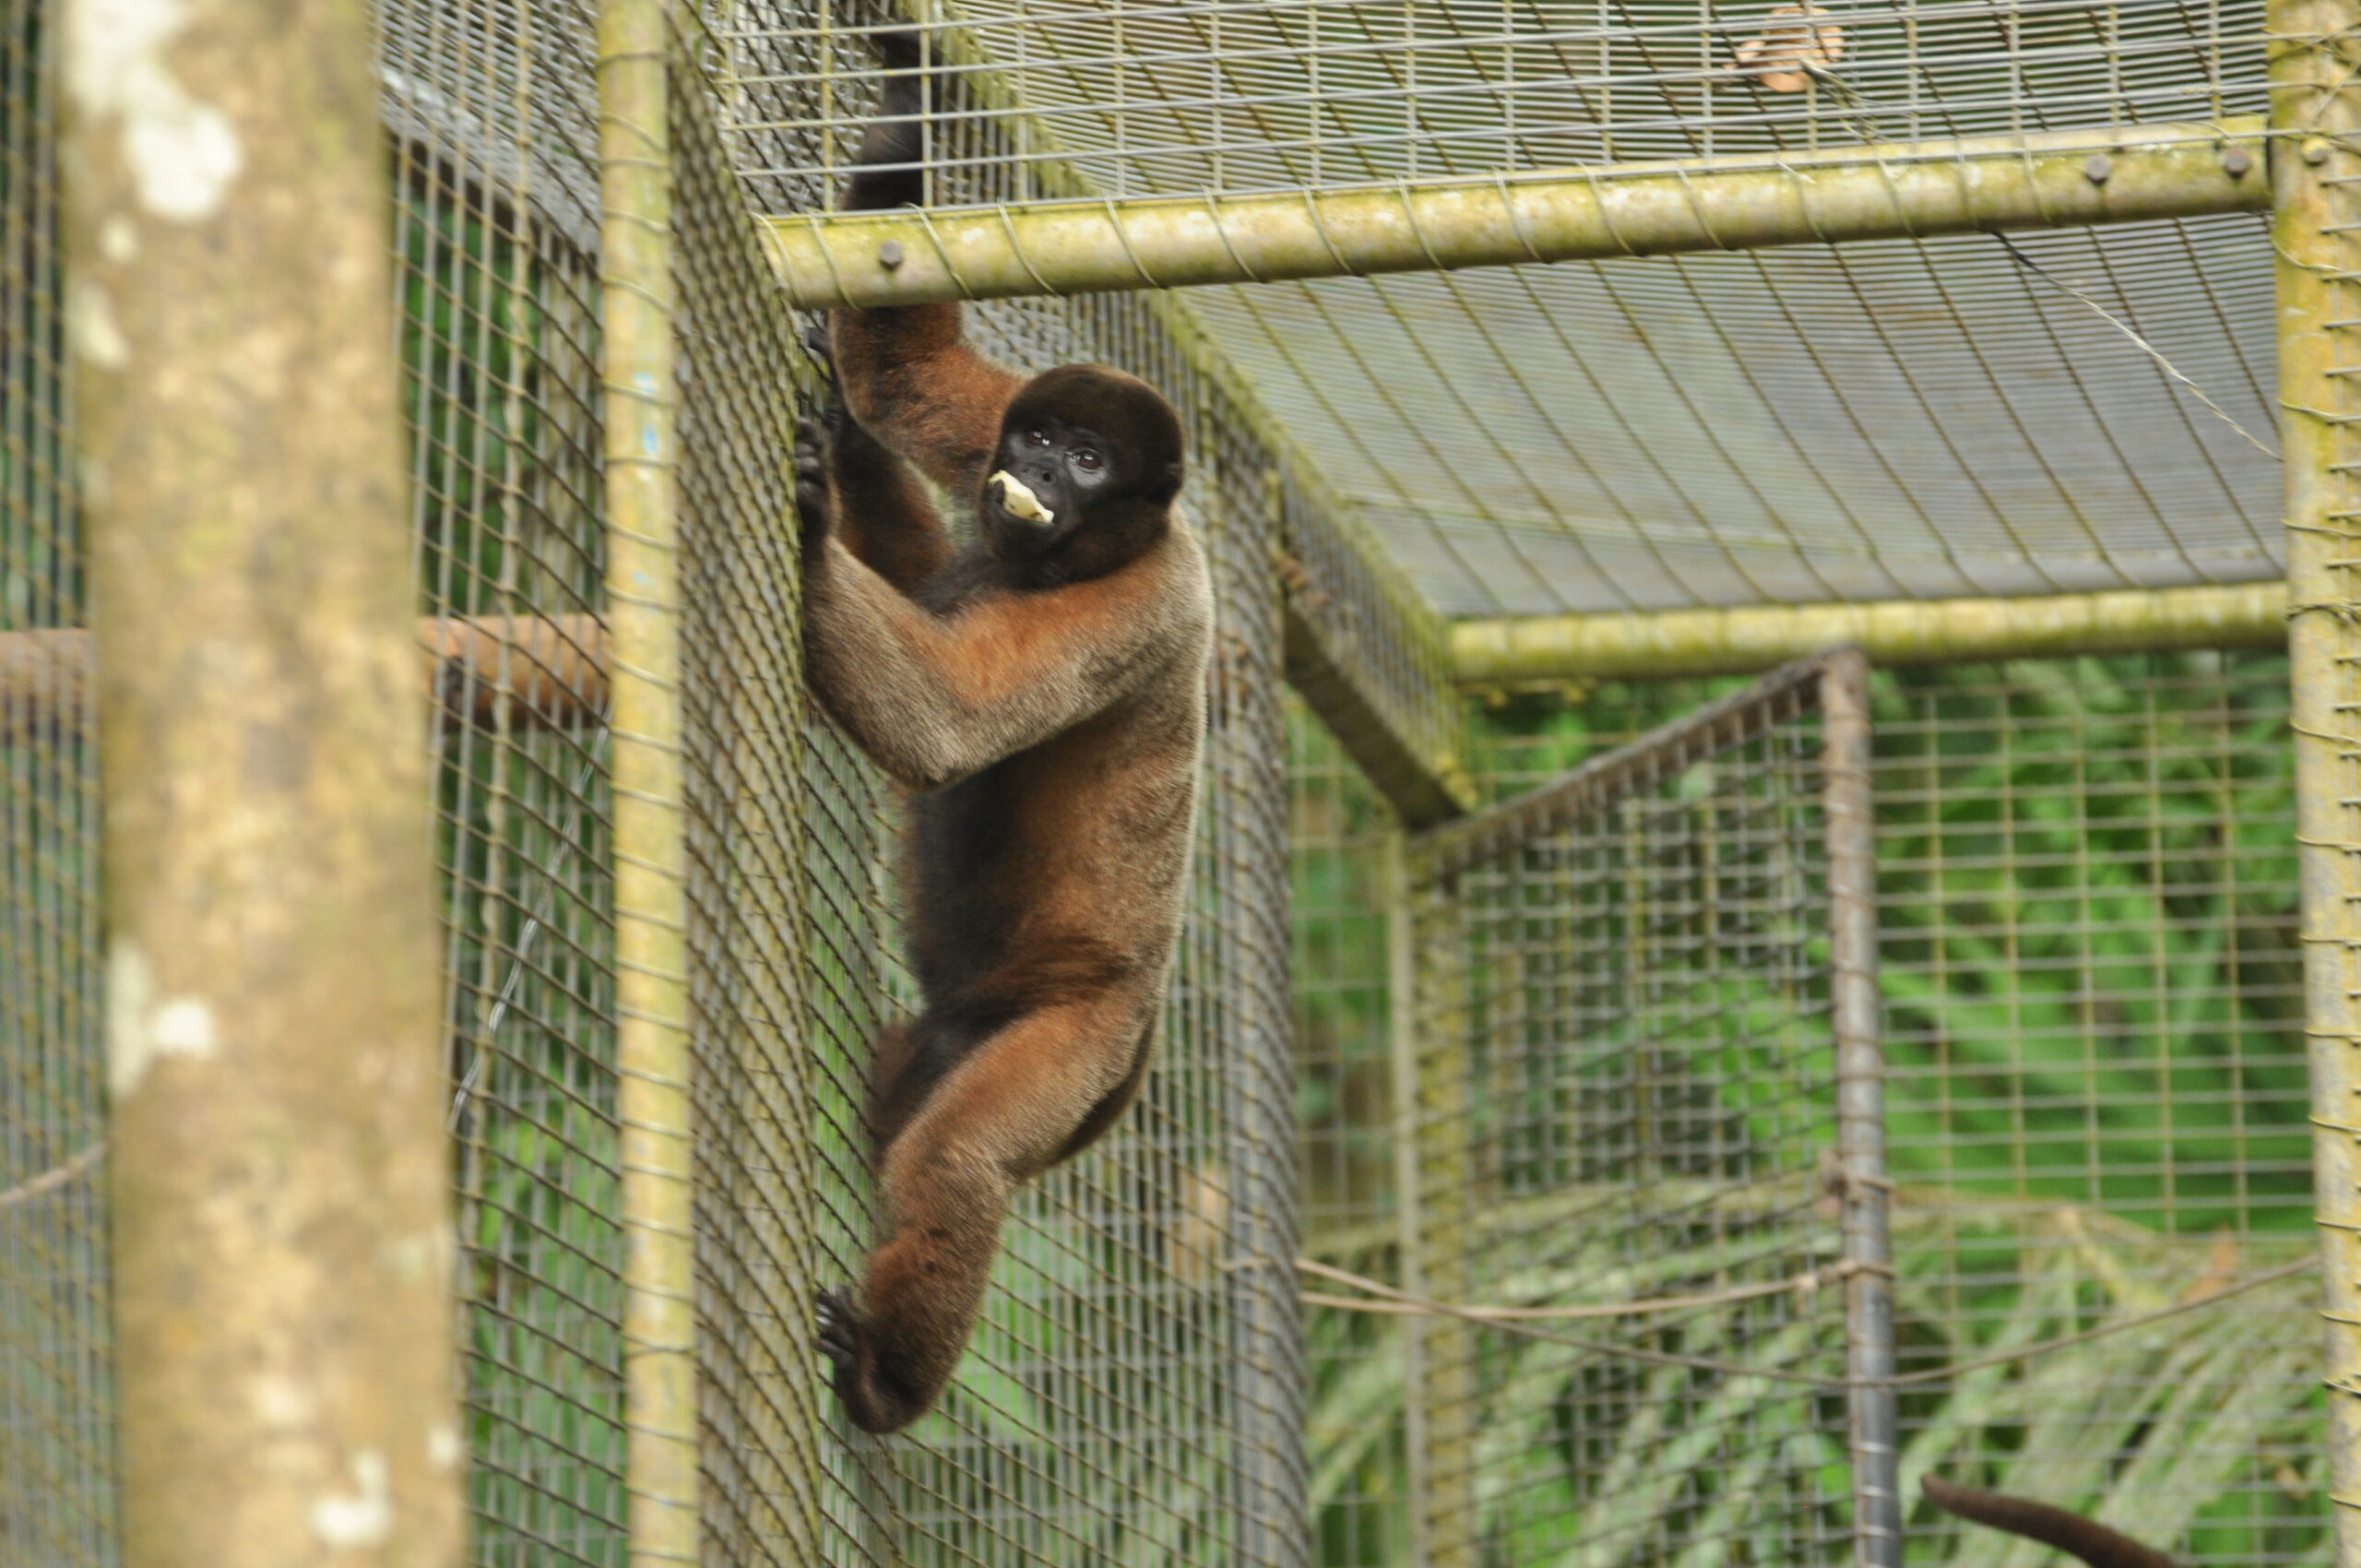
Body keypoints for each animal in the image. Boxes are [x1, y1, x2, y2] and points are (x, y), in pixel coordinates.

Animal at [794, 27, 1213, 1435]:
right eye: (1038, 433)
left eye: (1089, 461)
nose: (1036, 470)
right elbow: (906, 375)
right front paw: (903, 99)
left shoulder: (1131, 611)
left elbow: (947, 723)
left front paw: (808, 531)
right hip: (963, 1034)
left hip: (1071, 1040)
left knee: (960, 1161)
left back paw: (887, 1379)